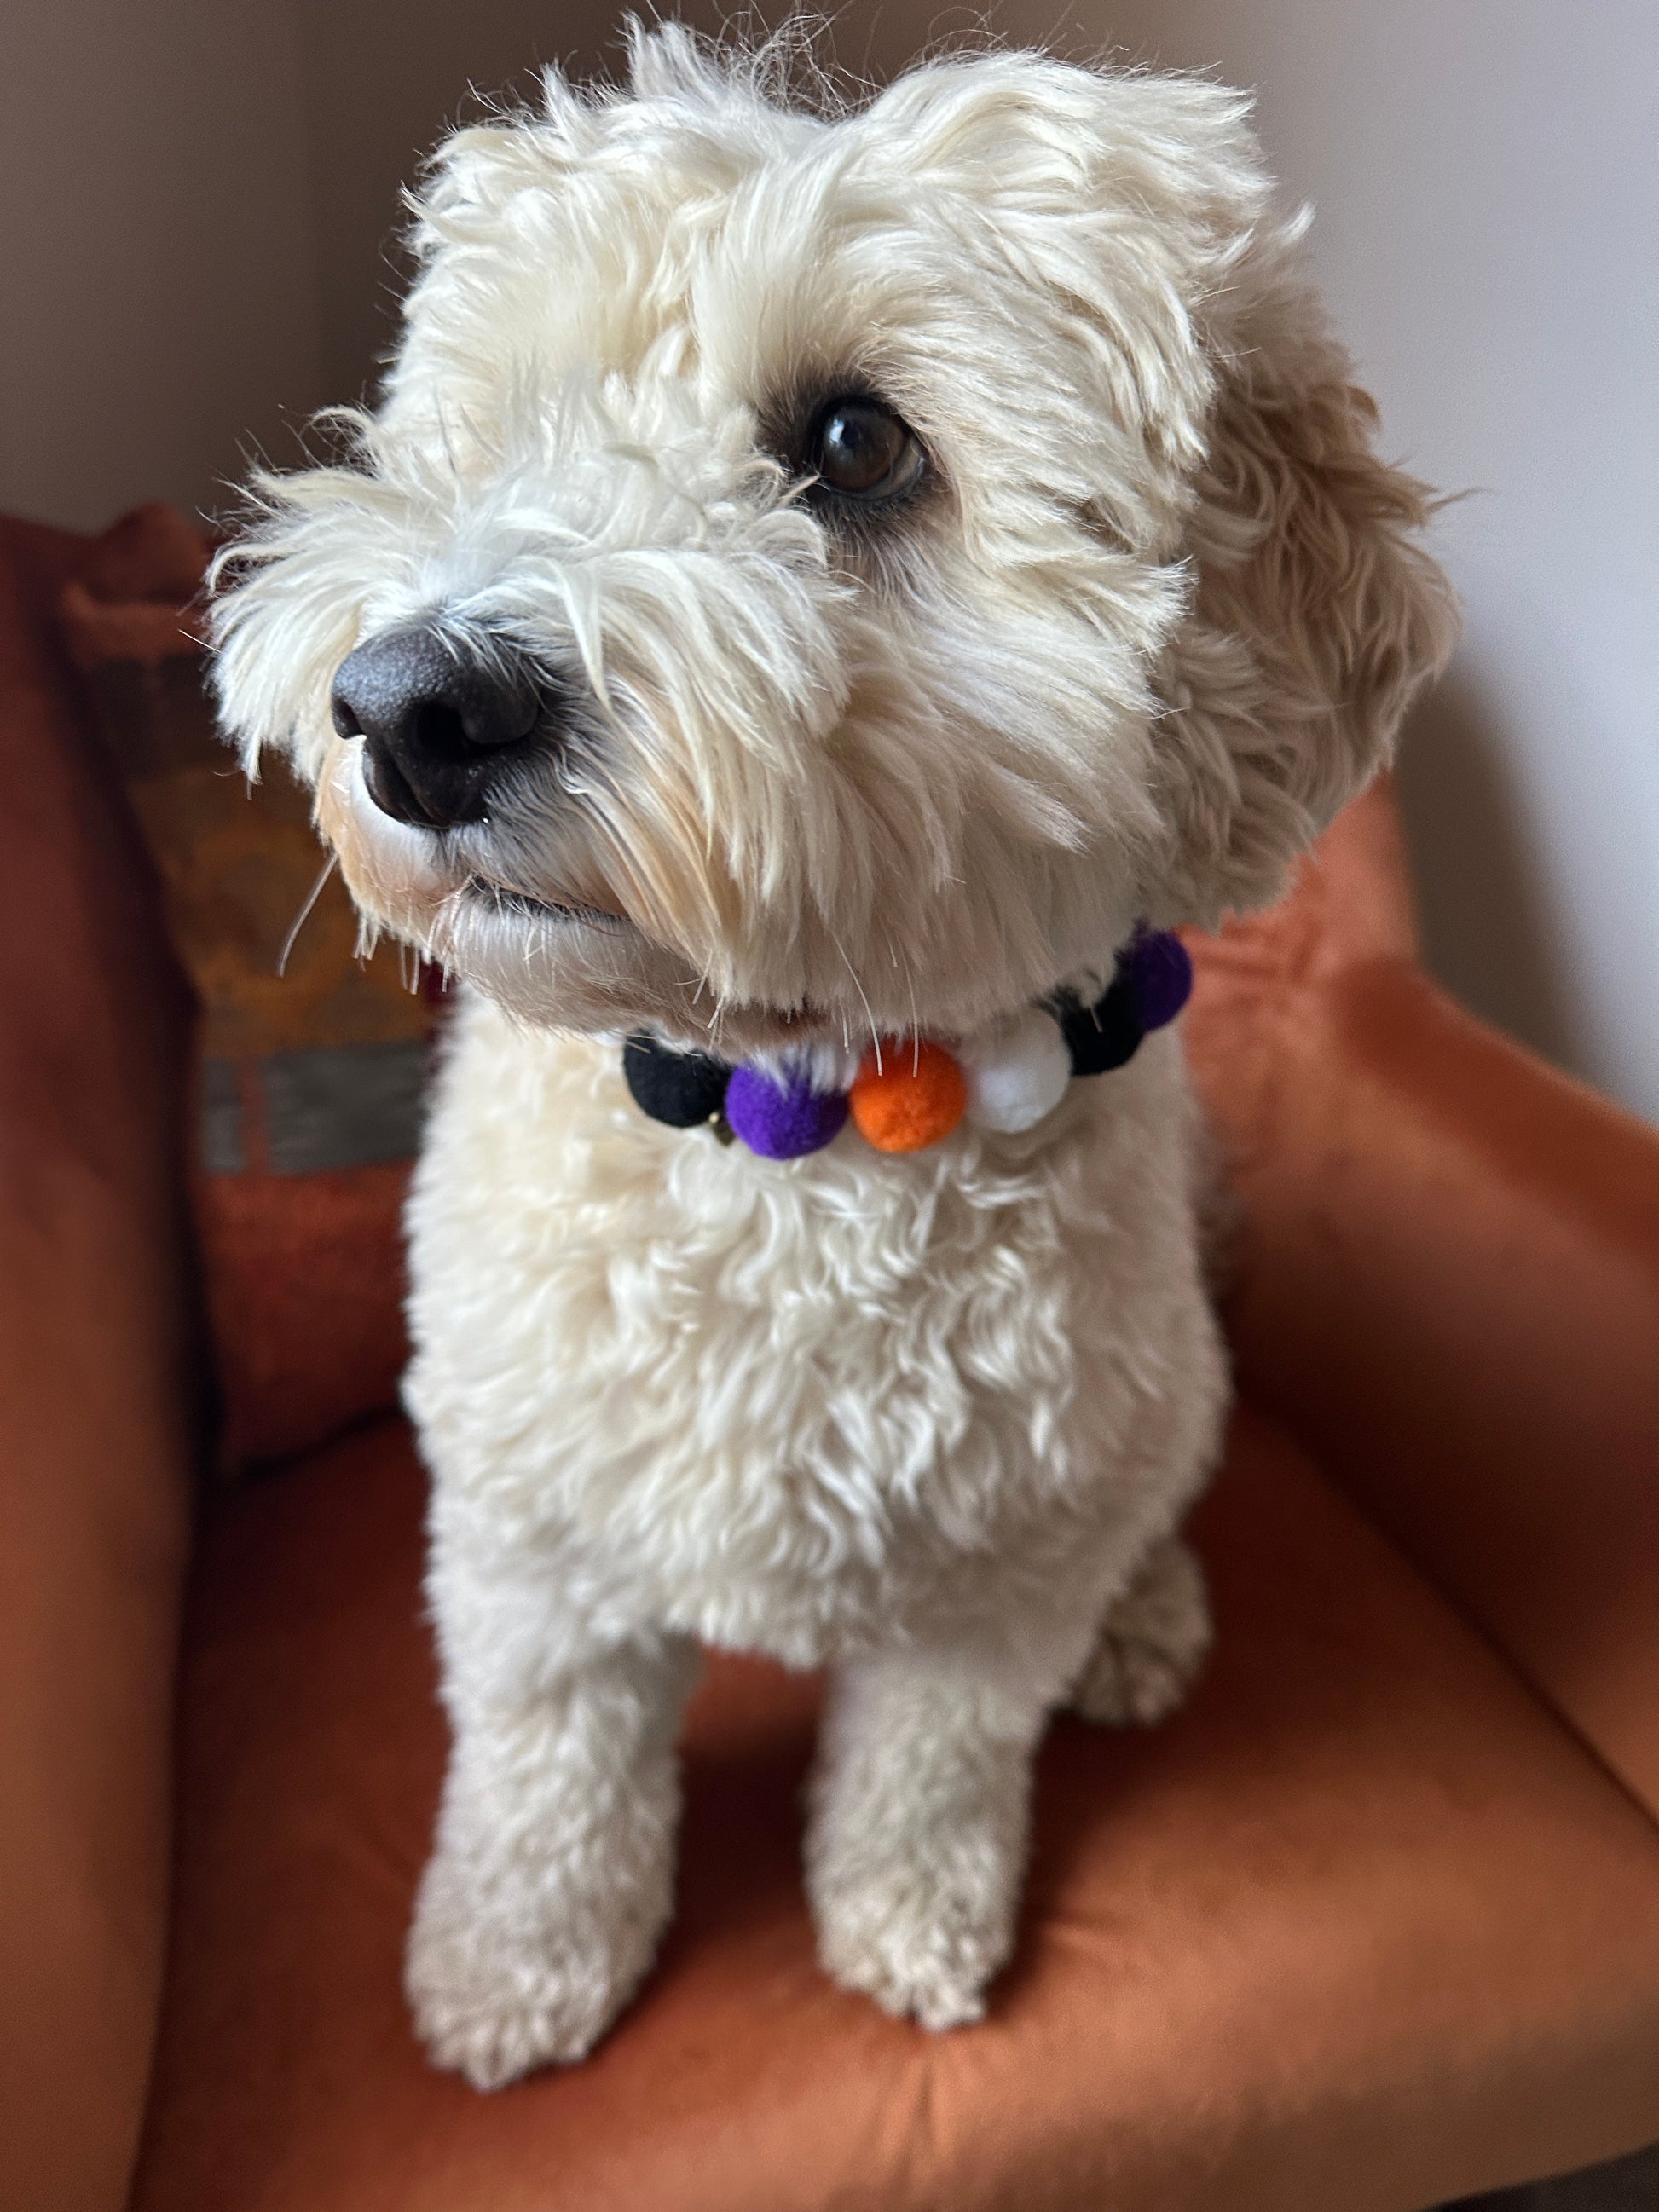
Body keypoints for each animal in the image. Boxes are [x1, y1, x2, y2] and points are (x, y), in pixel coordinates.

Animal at [211, 21, 1451, 2088]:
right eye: (499, 431)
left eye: (859, 443)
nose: (404, 707)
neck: (791, 1125)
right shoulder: (530, 1545)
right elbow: (545, 1773)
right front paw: (517, 1963)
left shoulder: (996, 1575)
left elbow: (931, 1768)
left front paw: (910, 1923)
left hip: (1156, 1398)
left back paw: (1145, 1620)